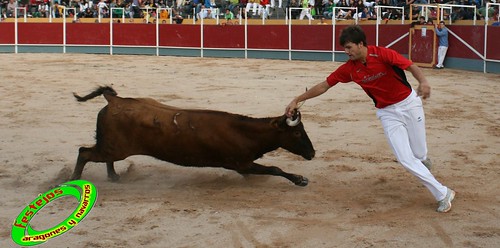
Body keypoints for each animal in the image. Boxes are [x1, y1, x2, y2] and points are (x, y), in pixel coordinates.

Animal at [70, 86, 314, 185]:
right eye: (297, 132)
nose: (312, 153)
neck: (244, 131)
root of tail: (114, 99)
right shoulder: (241, 163)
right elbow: (275, 169)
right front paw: (300, 180)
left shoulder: (244, 165)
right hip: (115, 148)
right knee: (84, 153)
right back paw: (72, 180)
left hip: (112, 146)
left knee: (101, 157)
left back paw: (114, 177)